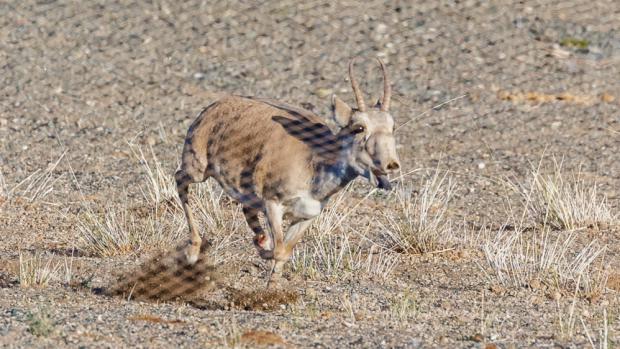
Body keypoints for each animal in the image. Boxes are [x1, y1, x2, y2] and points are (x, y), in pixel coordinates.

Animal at [174, 57, 402, 286]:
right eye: (359, 128)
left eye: (392, 126)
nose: (391, 164)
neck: (314, 164)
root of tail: (212, 108)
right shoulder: (272, 204)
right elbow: (279, 249)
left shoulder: (307, 215)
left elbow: (284, 252)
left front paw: (271, 284)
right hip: (198, 169)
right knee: (179, 178)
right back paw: (193, 251)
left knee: (246, 209)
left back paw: (260, 239)